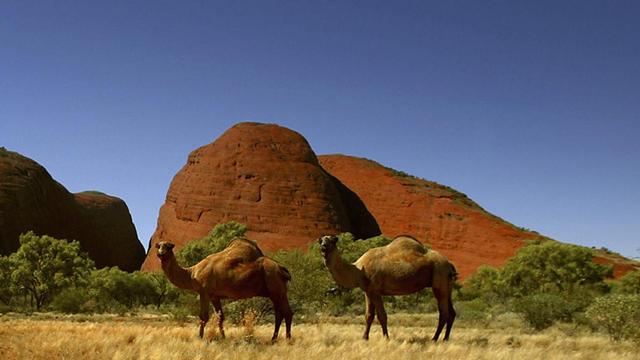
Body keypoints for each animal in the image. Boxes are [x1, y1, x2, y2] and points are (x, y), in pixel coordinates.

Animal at [156, 238, 294, 342]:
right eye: (158, 246)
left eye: (169, 246)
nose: (160, 253)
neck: (192, 274)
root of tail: (281, 268)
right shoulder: (214, 296)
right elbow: (220, 317)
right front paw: (223, 338)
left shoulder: (204, 292)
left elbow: (203, 316)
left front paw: (200, 338)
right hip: (274, 292)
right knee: (279, 314)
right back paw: (273, 339)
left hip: (277, 288)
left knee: (287, 313)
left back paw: (287, 340)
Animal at [318, 235, 458, 342]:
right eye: (321, 240)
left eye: (332, 241)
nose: (323, 247)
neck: (358, 270)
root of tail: (449, 263)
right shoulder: (368, 291)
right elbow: (368, 315)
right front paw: (364, 338)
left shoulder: (375, 290)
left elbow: (382, 315)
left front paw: (386, 338)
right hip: (447, 284)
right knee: (452, 312)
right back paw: (445, 339)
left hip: (439, 277)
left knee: (444, 313)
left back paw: (434, 339)